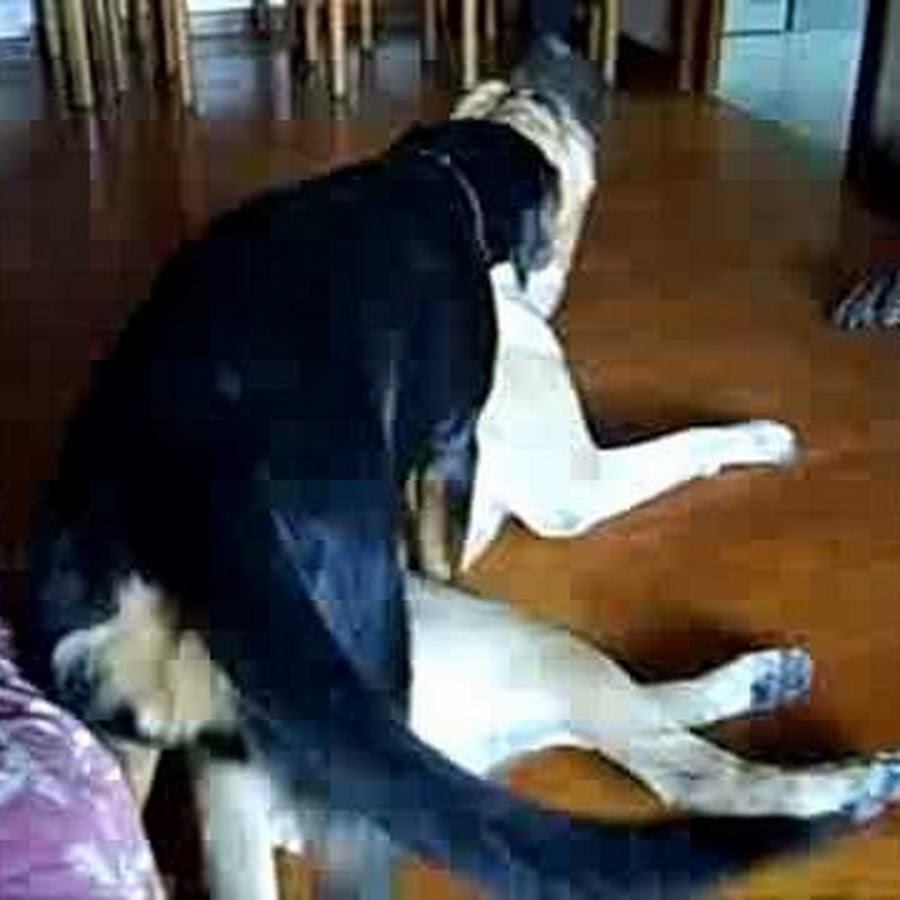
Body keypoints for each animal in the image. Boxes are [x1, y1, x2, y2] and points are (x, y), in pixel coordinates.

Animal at [20, 37, 898, 899]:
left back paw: (763, 681)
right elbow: (683, 444)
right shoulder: (564, 482)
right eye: (540, 109)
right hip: (527, 650)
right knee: (690, 775)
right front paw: (758, 436)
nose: (547, 42)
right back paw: (838, 789)